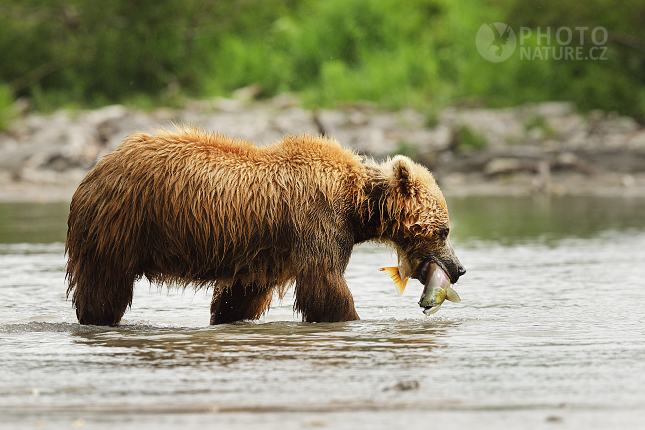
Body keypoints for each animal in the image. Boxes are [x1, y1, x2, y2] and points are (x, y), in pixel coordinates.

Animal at [65, 127, 462, 326]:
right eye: (444, 230)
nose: (458, 268)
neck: (356, 205)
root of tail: (97, 168)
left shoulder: (263, 254)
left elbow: (241, 296)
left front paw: (225, 318)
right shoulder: (318, 223)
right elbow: (325, 286)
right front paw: (351, 317)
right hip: (121, 225)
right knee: (105, 286)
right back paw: (98, 318)